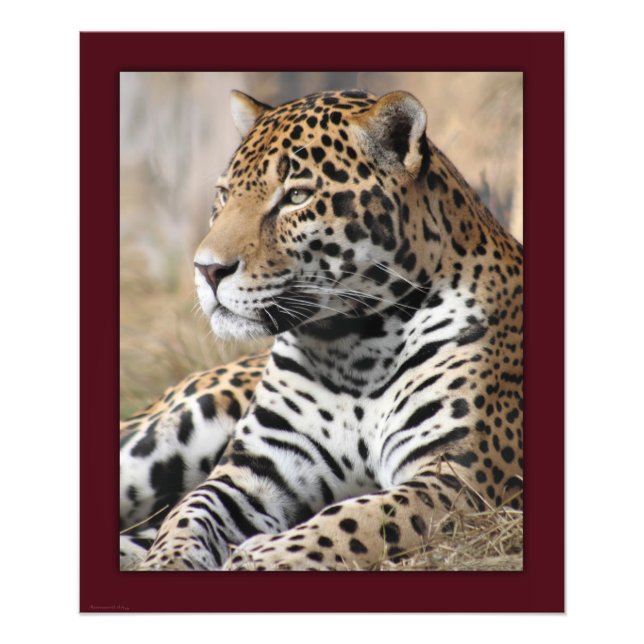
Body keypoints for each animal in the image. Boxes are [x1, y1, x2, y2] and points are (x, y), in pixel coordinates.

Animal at [120, 88, 523, 571]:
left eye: (296, 196)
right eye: (223, 195)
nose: (207, 269)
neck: (356, 349)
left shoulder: (459, 478)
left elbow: (354, 521)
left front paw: (255, 558)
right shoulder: (255, 471)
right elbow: (190, 514)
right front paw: (166, 562)